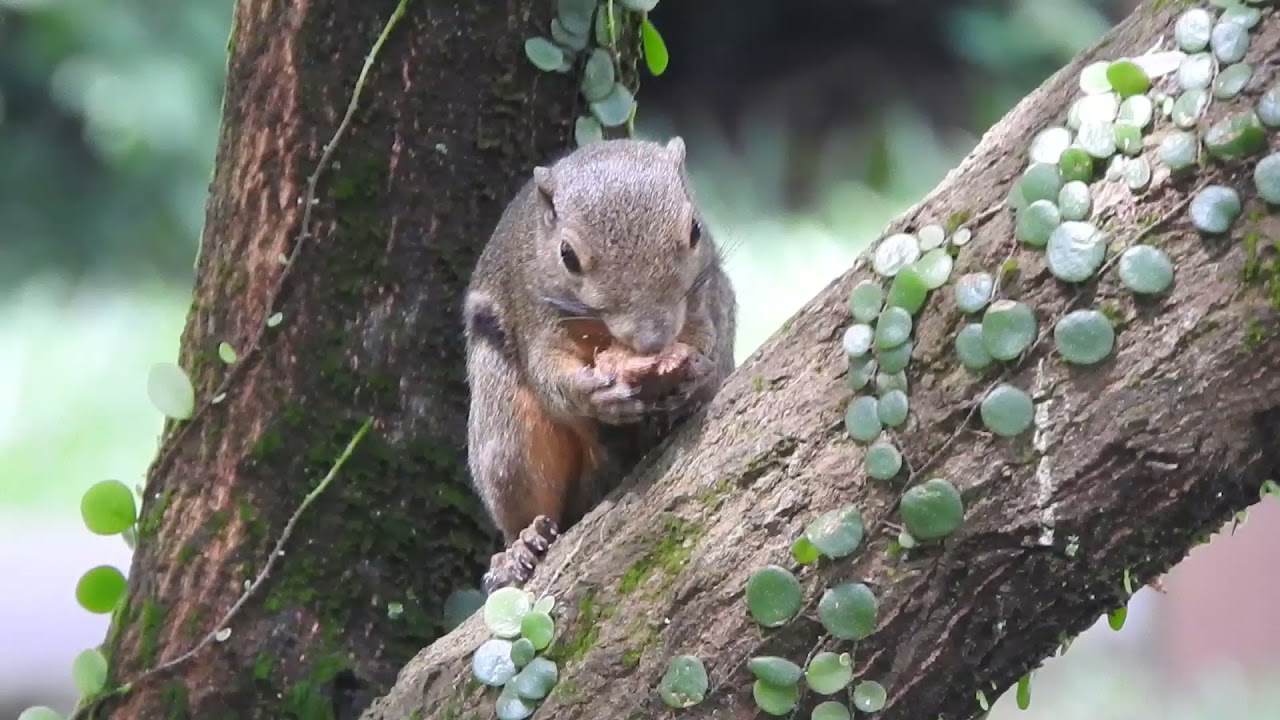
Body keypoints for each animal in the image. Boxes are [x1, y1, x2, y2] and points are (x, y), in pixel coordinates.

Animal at [461, 137, 737, 594]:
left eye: (695, 229)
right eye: (567, 255)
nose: (653, 340)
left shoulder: (701, 298)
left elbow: (706, 339)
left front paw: (695, 372)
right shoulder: (536, 317)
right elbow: (549, 374)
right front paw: (594, 394)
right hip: (507, 435)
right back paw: (521, 546)